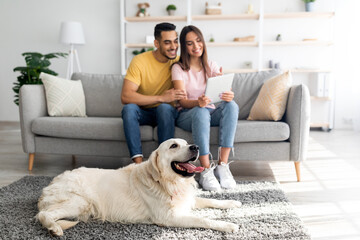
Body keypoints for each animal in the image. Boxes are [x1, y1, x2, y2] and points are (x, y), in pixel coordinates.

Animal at [36, 138, 242, 235]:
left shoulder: (186, 199)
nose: (196, 147)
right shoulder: (168, 217)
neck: (166, 182)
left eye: (186, 143)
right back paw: (54, 228)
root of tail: (51, 182)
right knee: (43, 215)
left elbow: (210, 200)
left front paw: (233, 202)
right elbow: (203, 220)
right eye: (174, 146)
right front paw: (228, 224)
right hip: (80, 202)